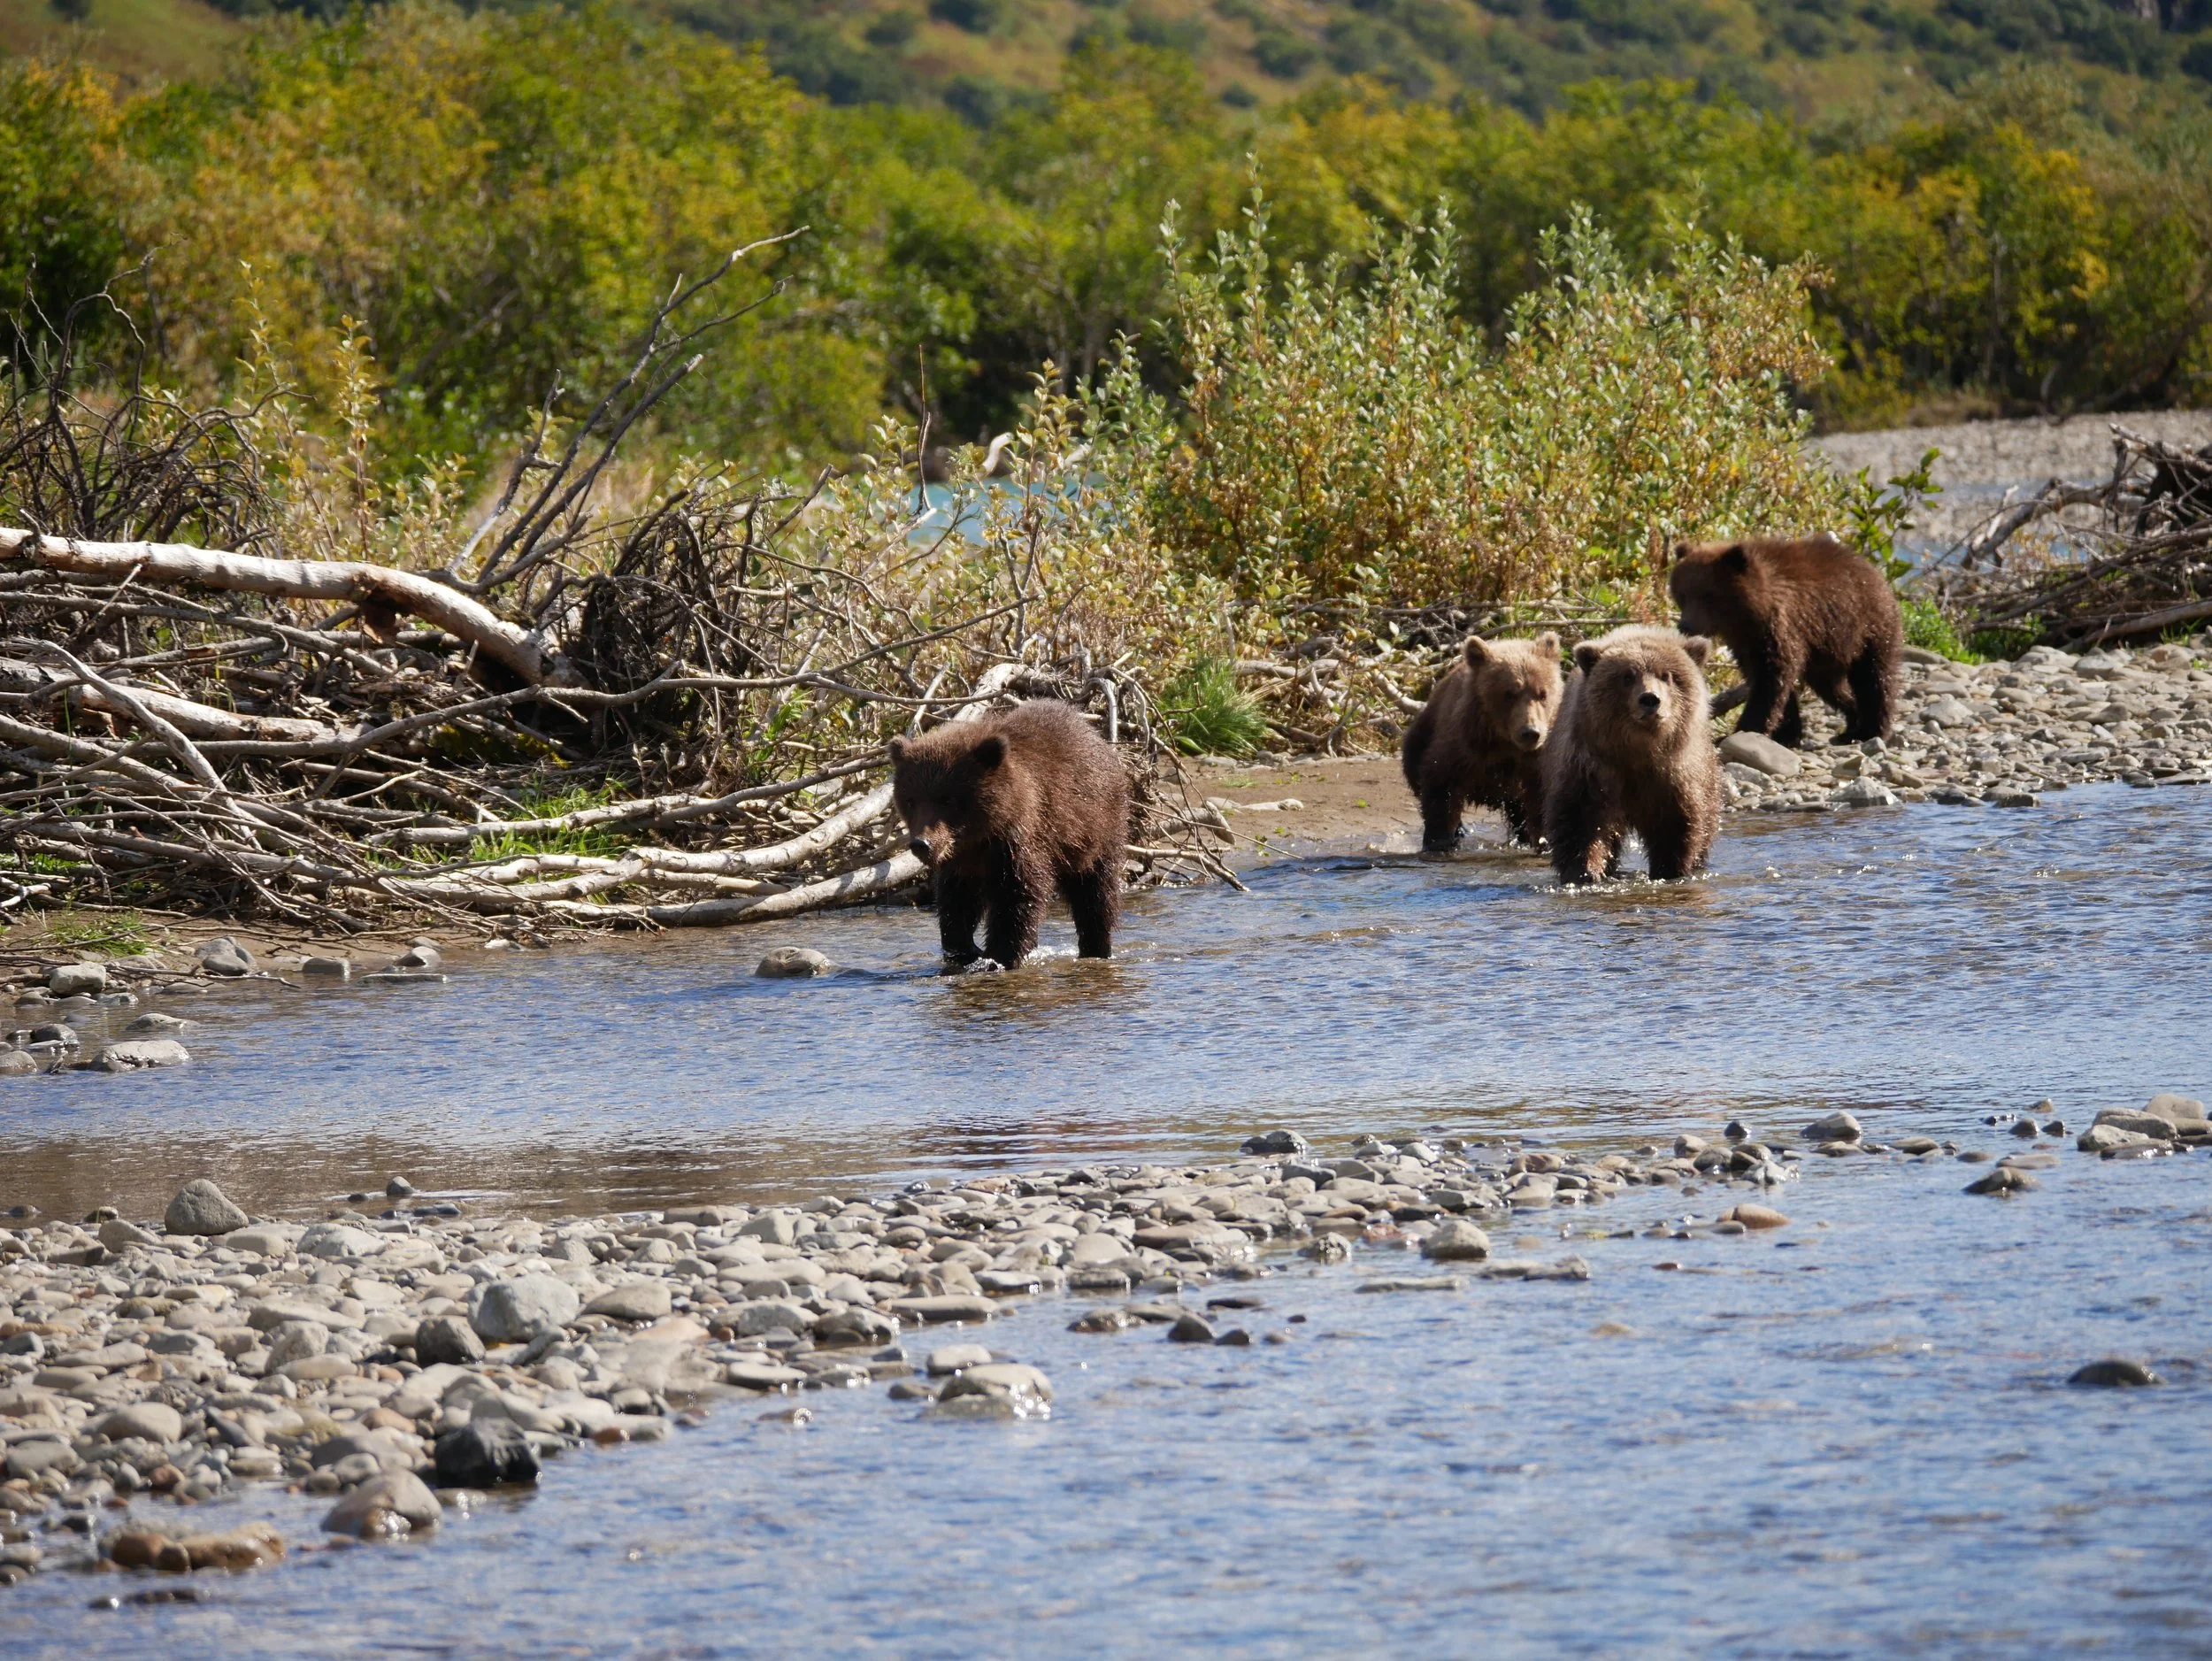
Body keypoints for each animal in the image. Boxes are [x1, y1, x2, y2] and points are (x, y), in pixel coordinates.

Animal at [888, 698, 1127, 969]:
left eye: (947, 799)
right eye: (910, 800)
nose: (922, 843)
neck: (981, 835)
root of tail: (1096, 737)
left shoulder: (1021, 840)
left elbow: (1018, 895)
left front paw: (998, 955)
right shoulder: (961, 860)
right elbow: (956, 899)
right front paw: (962, 949)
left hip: (1096, 831)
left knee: (1095, 894)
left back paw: (1097, 947)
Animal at [1399, 632, 1564, 852]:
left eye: (1542, 694)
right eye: (1509, 694)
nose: (1530, 732)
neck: (1505, 744)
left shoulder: (1538, 762)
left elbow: (1543, 800)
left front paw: (1544, 843)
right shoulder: (1462, 746)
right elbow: (1440, 785)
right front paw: (1440, 841)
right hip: (1422, 733)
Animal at [1542, 626, 1722, 885]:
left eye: (1666, 675)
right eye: (1627, 677)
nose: (1650, 699)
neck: (1636, 753)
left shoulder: (1673, 775)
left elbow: (1677, 823)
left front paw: (1669, 869)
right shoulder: (1590, 769)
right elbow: (1580, 822)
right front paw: (1585, 871)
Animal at [1668, 535, 1903, 749]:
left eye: (1709, 595)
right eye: (1682, 594)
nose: (1686, 626)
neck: (1748, 618)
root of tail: (1876, 572)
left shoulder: (1782, 626)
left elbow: (1771, 679)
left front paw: (1739, 732)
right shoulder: (1746, 644)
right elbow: (1769, 680)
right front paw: (1787, 733)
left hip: (1868, 628)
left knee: (1874, 678)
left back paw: (1871, 731)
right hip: (1827, 653)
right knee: (1831, 686)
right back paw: (1852, 725)